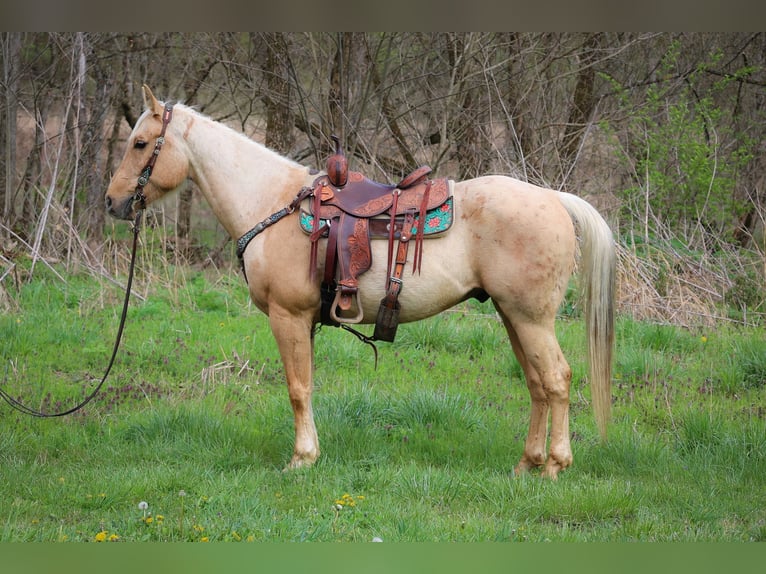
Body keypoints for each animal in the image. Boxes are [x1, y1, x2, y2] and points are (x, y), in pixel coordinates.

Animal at [106, 86, 616, 482]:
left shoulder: (288, 317)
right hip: (514, 317)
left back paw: (554, 465)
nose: (112, 202)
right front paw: (310, 452)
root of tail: (554, 198)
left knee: (557, 379)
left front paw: (302, 459)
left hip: (531, 319)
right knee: (537, 384)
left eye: (141, 143)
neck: (270, 202)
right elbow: (306, 385)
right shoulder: (303, 322)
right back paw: (528, 464)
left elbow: (297, 388)